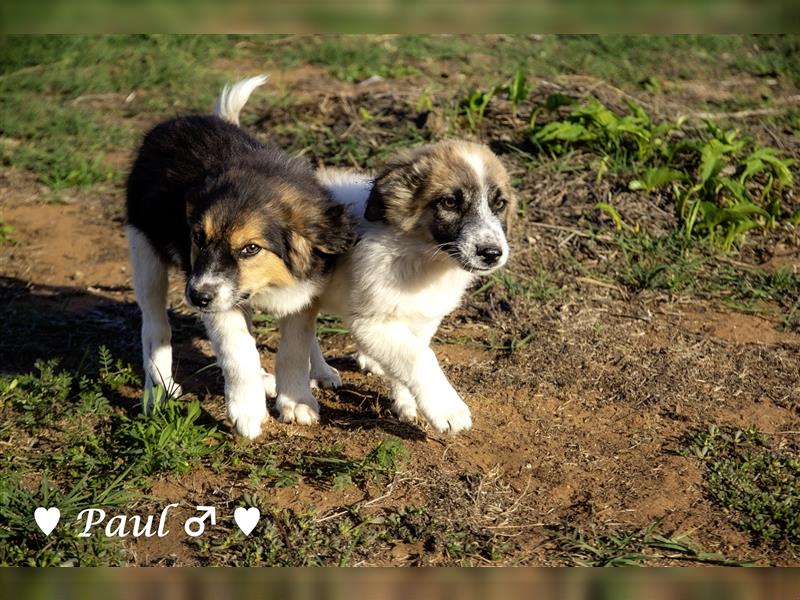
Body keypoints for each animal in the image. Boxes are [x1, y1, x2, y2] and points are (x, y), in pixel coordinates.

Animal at [127, 106, 354, 436]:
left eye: (251, 248)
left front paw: (296, 401)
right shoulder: (219, 300)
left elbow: (295, 348)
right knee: (155, 327)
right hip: (145, 254)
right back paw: (157, 390)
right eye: (198, 238)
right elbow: (238, 350)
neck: (270, 285)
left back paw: (315, 371)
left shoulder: (303, 292)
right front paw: (247, 410)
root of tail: (178, 120)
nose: (196, 297)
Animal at [216, 76, 512, 432]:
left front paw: (406, 401)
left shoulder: (422, 318)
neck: (423, 256)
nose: (492, 253)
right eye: (450, 202)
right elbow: (419, 357)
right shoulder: (369, 323)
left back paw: (325, 371)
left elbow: (411, 355)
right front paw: (447, 408)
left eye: (499, 204)